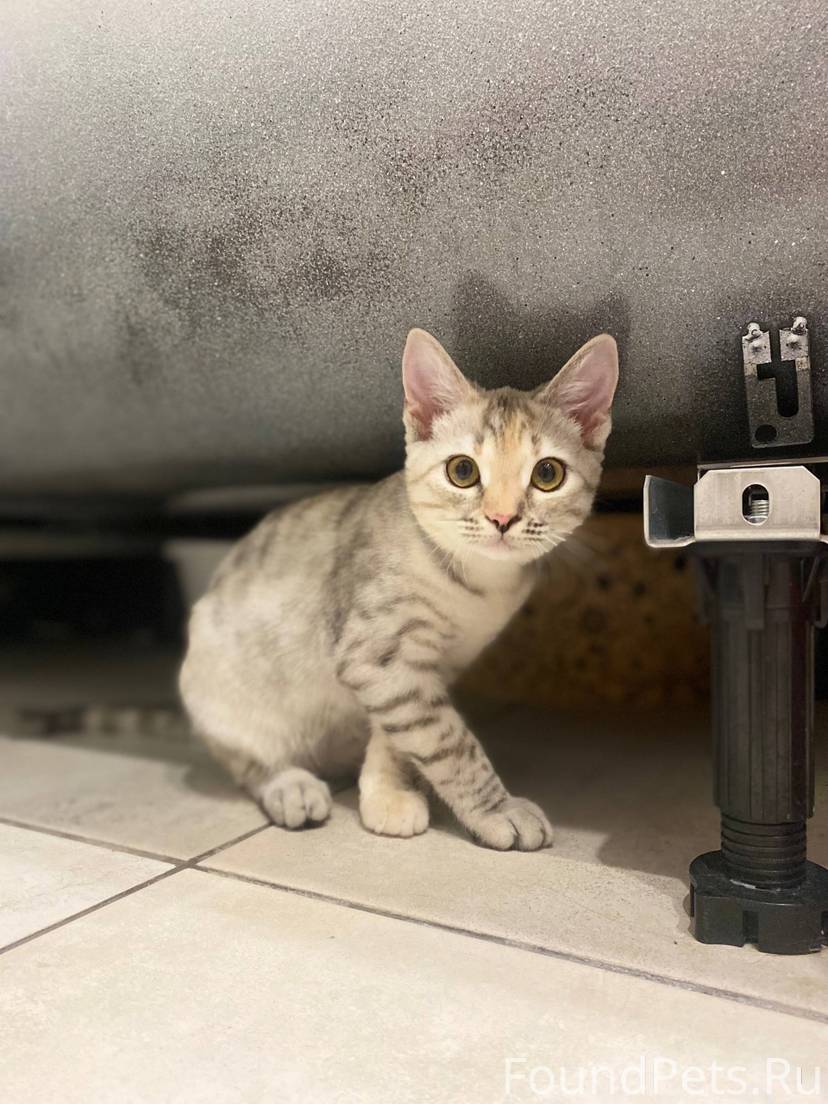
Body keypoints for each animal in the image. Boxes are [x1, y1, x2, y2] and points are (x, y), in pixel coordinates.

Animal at [179, 328, 618, 850]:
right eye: (463, 471)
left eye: (547, 474)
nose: (502, 517)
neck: (475, 588)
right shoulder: (378, 656)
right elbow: (448, 741)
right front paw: (497, 809)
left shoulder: (424, 669)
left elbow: (401, 735)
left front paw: (388, 790)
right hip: (217, 692)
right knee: (248, 762)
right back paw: (290, 786)